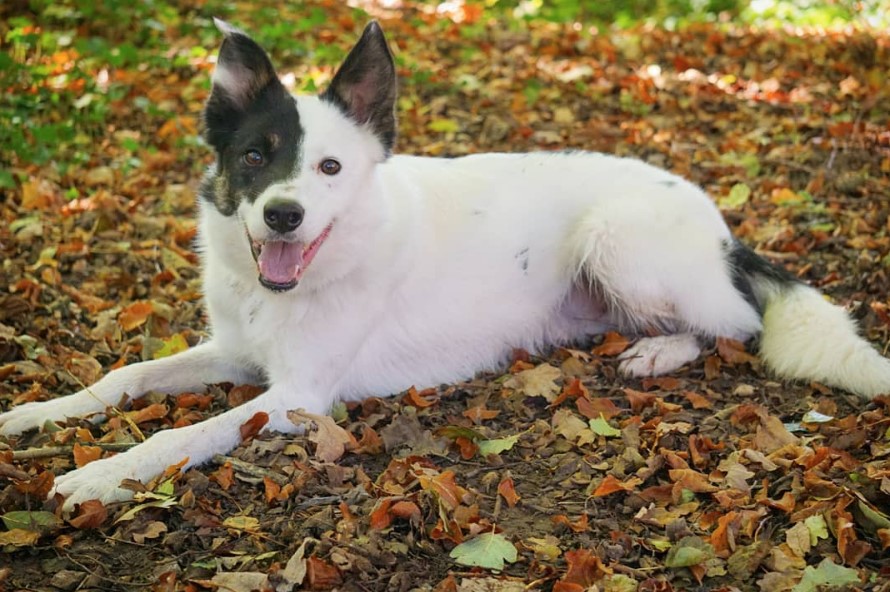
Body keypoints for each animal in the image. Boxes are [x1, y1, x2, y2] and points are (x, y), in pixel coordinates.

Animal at [1, 19, 888, 508]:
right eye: (254, 157)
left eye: (330, 168)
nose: (283, 214)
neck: (290, 282)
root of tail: (718, 223)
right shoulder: (237, 353)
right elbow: (125, 379)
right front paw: (35, 414)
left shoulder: (296, 396)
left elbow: (183, 432)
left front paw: (101, 475)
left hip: (619, 239)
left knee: (733, 322)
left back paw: (657, 352)